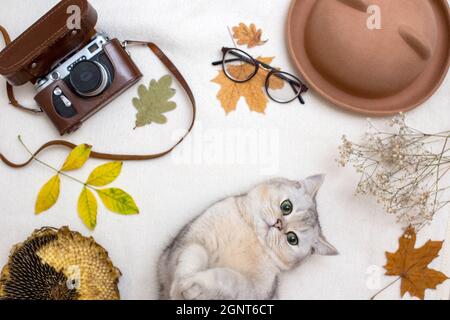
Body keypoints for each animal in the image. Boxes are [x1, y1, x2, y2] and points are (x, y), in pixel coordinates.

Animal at [158, 175, 338, 300]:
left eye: (292, 239)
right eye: (287, 207)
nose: (278, 224)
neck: (253, 237)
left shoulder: (255, 290)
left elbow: (227, 277)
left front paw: (196, 285)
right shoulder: (188, 240)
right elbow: (193, 255)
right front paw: (180, 285)